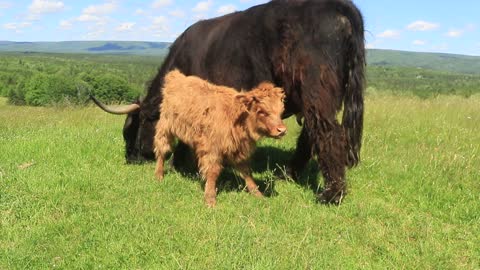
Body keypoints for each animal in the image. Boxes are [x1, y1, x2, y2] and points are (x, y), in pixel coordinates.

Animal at [156, 69, 286, 207]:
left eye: (280, 111)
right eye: (262, 111)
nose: (282, 130)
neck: (235, 117)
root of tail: (176, 76)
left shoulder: (239, 149)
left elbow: (246, 171)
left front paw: (257, 194)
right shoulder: (212, 149)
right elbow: (212, 171)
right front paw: (210, 198)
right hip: (165, 128)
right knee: (162, 150)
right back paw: (159, 175)